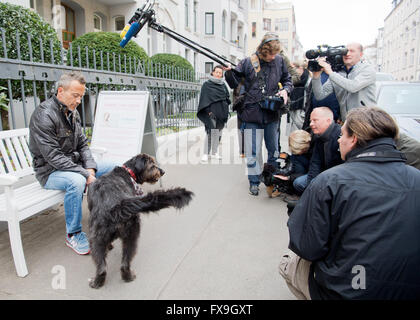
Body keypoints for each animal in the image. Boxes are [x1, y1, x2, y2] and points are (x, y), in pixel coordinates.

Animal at [88, 154, 195, 288]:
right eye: (152, 165)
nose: (162, 171)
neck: (128, 172)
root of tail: (117, 206)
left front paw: (110, 246)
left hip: (101, 238)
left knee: (109, 266)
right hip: (124, 236)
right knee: (117, 265)